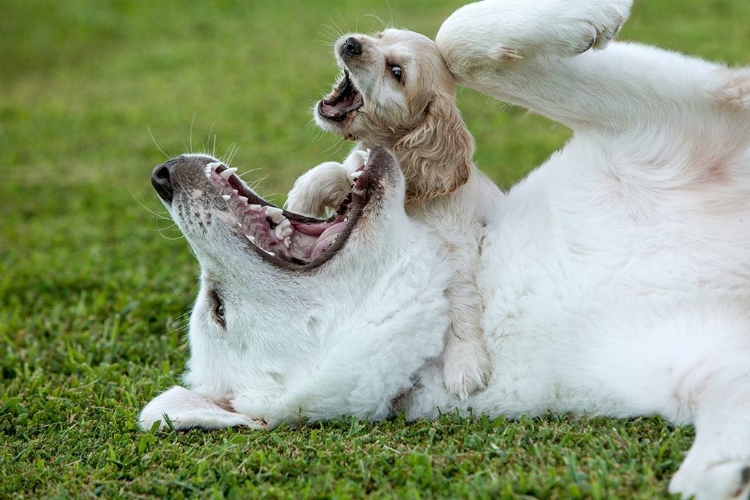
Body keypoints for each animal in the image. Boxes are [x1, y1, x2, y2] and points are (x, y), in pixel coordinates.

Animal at [288, 30, 506, 398]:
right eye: (380, 36)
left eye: (397, 72)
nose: (352, 43)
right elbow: (338, 171)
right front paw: (302, 197)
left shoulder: (457, 249)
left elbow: (463, 301)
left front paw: (466, 365)